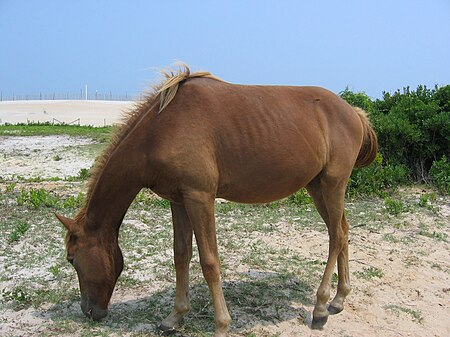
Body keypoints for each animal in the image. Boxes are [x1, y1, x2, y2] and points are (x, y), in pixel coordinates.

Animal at [56, 64, 378, 334]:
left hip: (333, 184)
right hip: (317, 187)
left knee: (336, 237)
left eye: (72, 259)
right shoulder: (178, 200)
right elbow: (181, 255)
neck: (160, 129)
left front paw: (222, 324)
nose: (89, 311)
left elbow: (210, 262)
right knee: (343, 232)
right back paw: (338, 299)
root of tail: (353, 112)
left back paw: (321, 307)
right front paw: (174, 317)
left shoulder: (200, 197)